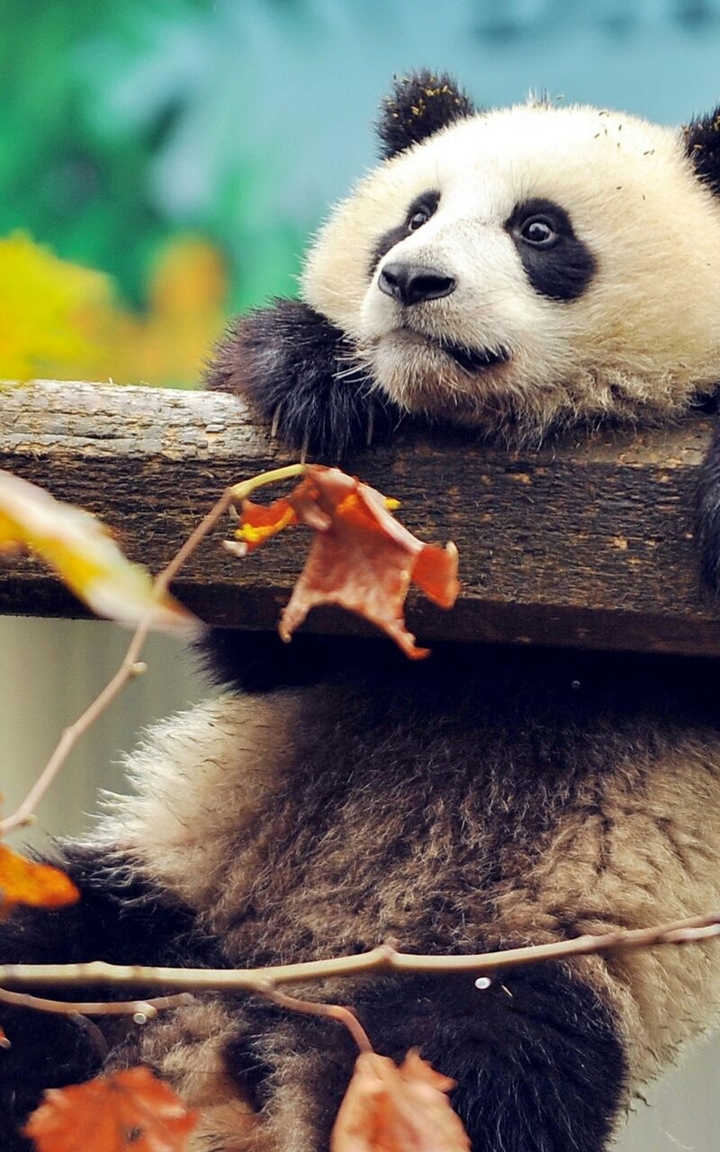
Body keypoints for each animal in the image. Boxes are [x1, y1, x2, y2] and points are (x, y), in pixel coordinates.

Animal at [5, 70, 720, 1152]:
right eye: (415, 213)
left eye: (540, 231)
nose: (410, 280)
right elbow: (266, 650)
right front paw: (312, 370)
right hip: (158, 905)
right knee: (40, 954)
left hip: (516, 965)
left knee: (478, 1069)